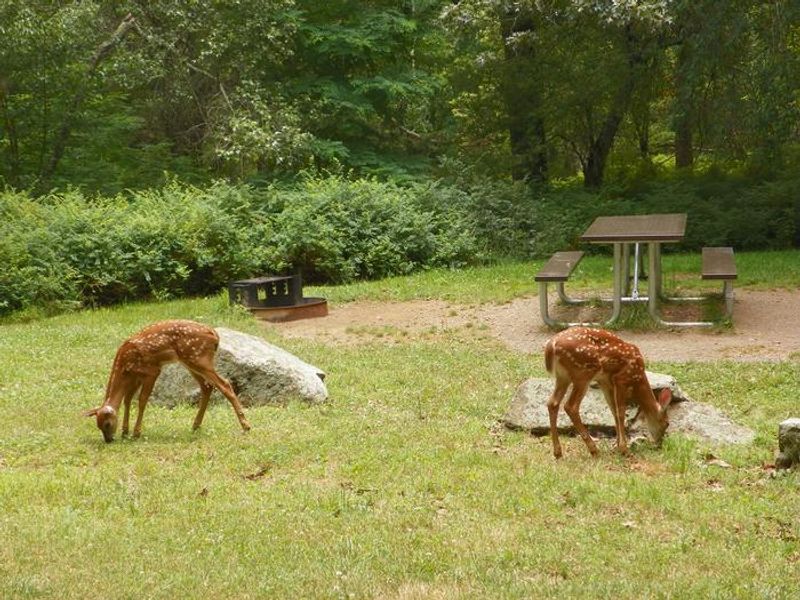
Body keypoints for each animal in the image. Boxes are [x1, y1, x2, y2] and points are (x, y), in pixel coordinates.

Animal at [84, 320, 251, 442]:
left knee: (225, 384)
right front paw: (125, 431)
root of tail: (215, 335)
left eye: (107, 424)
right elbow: (127, 400)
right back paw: (195, 425)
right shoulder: (135, 377)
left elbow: (142, 400)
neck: (124, 367)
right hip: (190, 362)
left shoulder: (151, 371)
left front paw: (136, 433)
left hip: (199, 359)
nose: (108, 440)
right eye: (98, 426)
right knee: (207, 386)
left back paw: (246, 426)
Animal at [544, 326, 671, 458]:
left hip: (563, 377)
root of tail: (551, 345)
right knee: (570, 406)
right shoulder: (621, 379)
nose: (660, 444)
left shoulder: (605, 381)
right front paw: (624, 449)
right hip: (584, 372)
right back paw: (594, 450)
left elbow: (613, 411)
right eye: (667, 423)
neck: (638, 378)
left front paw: (616, 446)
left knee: (552, 403)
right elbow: (620, 413)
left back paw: (558, 452)